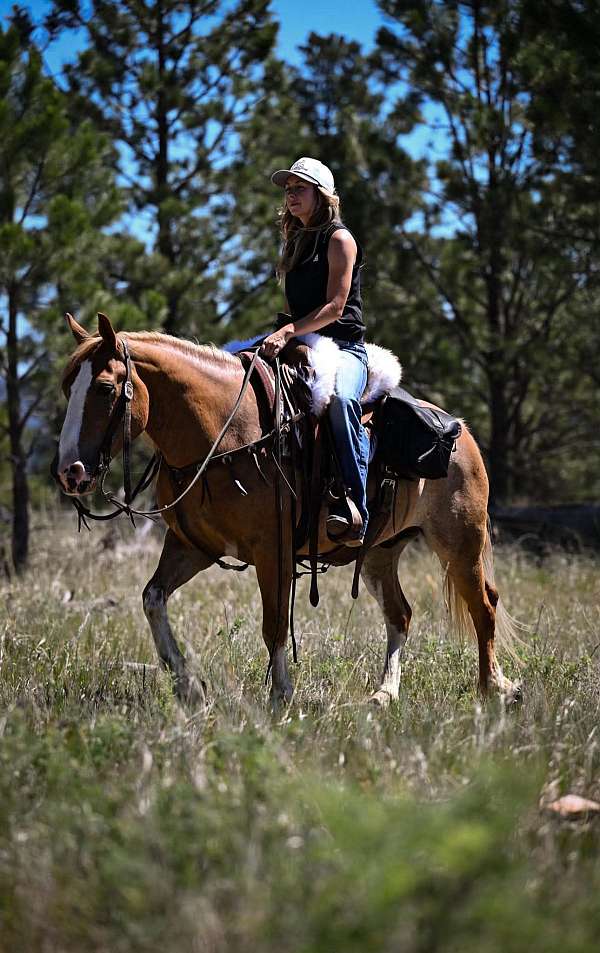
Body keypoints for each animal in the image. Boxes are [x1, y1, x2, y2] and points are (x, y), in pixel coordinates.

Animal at [54, 312, 522, 709]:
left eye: (105, 388)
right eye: (66, 388)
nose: (70, 473)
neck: (226, 432)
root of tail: (462, 432)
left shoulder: (272, 552)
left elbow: (275, 624)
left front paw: (280, 696)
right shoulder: (193, 546)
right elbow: (153, 599)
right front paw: (189, 687)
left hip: (460, 542)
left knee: (483, 606)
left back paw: (493, 690)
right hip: (380, 552)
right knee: (400, 614)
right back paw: (384, 695)